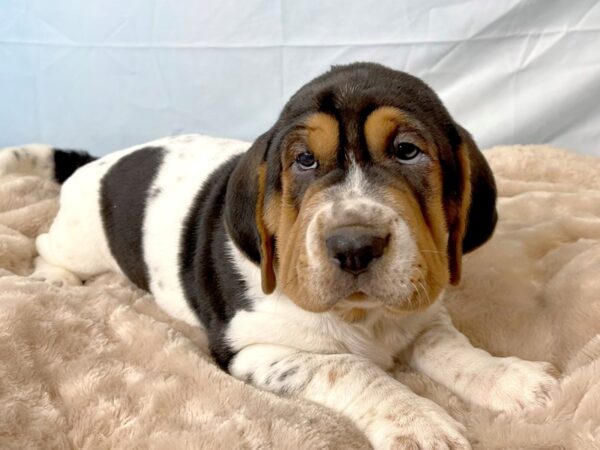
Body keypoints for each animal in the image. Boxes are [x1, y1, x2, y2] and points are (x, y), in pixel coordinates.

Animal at [3, 62, 556, 446]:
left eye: (407, 151)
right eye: (305, 161)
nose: (354, 246)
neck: (364, 317)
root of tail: (102, 160)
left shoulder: (422, 315)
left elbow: (454, 350)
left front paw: (511, 379)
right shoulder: (253, 350)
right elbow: (350, 368)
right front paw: (417, 421)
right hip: (81, 239)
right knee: (44, 244)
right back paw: (54, 278)